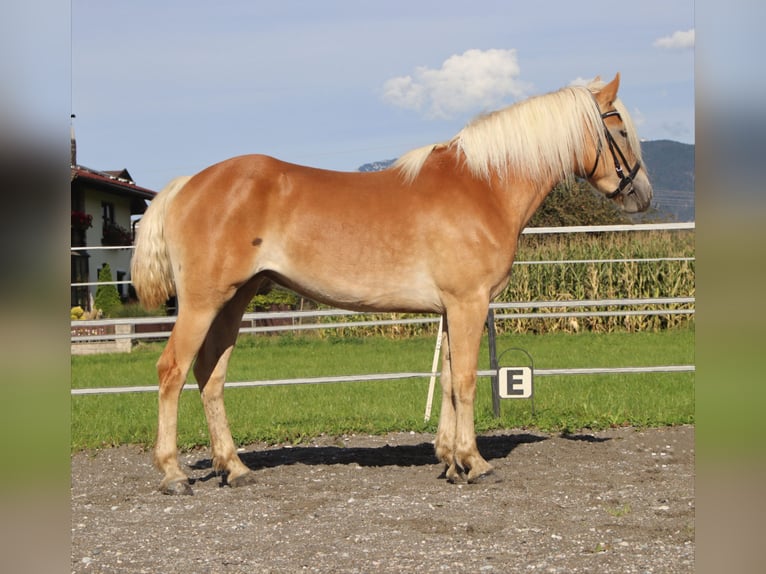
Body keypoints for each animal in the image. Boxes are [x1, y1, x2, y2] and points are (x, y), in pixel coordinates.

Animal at [132, 73, 656, 496]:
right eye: (619, 127)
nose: (643, 196)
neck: (483, 187)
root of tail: (187, 184)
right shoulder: (468, 304)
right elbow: (466, 381)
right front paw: (476, 462)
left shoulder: (452, 309)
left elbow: (447, 380)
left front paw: (451, 461)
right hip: (203, 303)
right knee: (172, 371)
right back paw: (174, 474)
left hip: (234, 302)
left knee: (211, 375)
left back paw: (235, 468)